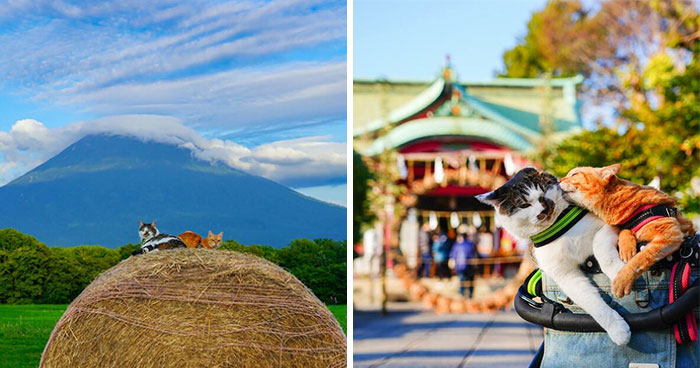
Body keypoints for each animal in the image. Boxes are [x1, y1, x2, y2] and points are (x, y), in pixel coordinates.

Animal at [478, 167, 632, 344]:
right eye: (524, 205)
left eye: (544, 191)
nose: (544, 209)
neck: (558, 229)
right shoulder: (564, 274)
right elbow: (589, 300)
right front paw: (618, 329)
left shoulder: (606, 226)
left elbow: (601, 250)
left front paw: (620, 274)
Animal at [556, 165, 696, 298]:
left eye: (574, 174)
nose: (558, 180)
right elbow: (624, 230)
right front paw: (626, 247)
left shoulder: (670, 234)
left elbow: (640, 258)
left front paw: (622, 280)